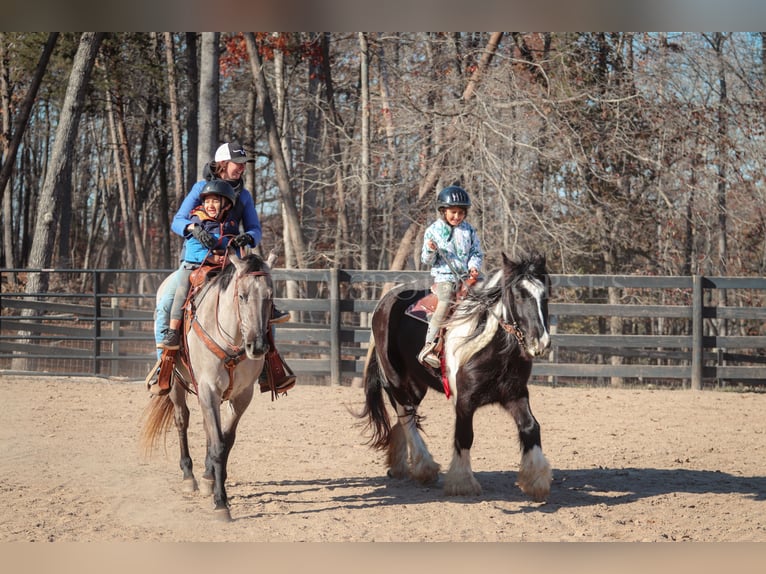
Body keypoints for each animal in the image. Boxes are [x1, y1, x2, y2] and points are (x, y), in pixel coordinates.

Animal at [141, 251, 276, 520]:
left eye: (269, 296)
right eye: (242, 295)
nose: (257, 346)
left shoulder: (242, 396)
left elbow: (225, 441)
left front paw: (214, 484)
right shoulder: (208, 389)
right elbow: (217, 443)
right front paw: (221, 503)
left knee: (206, 428)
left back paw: (206, 476)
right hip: (176, 382)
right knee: (182, 420)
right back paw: (189, 476)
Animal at [360, 254, 552, 502]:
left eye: (545, 295)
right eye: (518, 295)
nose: (541, 342)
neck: (489, 346)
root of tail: (384, 303)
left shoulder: (515, 393)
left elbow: (530, 427)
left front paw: (536, 481)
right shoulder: (464, 400)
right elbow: (464, 435)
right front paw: (462, 483)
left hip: (417, 385)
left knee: (405, 417)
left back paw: (400, 465)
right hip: (396, 378)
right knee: (407, 416)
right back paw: (425, 467)